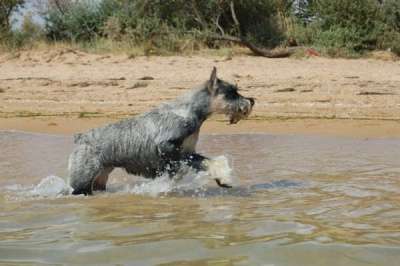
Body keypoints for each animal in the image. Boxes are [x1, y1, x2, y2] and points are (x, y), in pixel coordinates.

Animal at [67, 67, 255, 194]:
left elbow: (204, 161)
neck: (192, 110)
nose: (252, 101)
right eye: (231, 92)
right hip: (82, 182)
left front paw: (222, 179)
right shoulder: (168, 147)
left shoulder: (188, 150)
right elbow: (199, 161)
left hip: (101, 177)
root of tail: (80, 138)